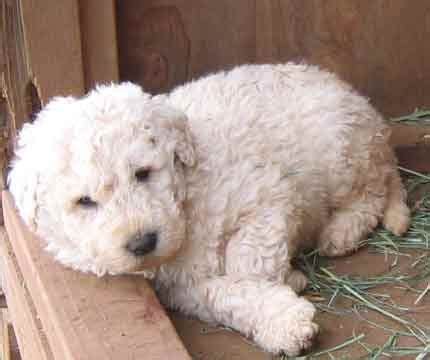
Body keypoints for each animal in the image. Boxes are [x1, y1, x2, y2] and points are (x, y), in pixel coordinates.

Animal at [7, 63, 410, 356]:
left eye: (143, 173)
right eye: (84, 202)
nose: (142, 243)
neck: (187, 201)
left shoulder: (267, 198)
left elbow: (249, 263)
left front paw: (284, 284)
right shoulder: (180, 287)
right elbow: (222, 295)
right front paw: (283, 320)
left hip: (341, 153)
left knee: (374, 191)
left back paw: (339, 232)